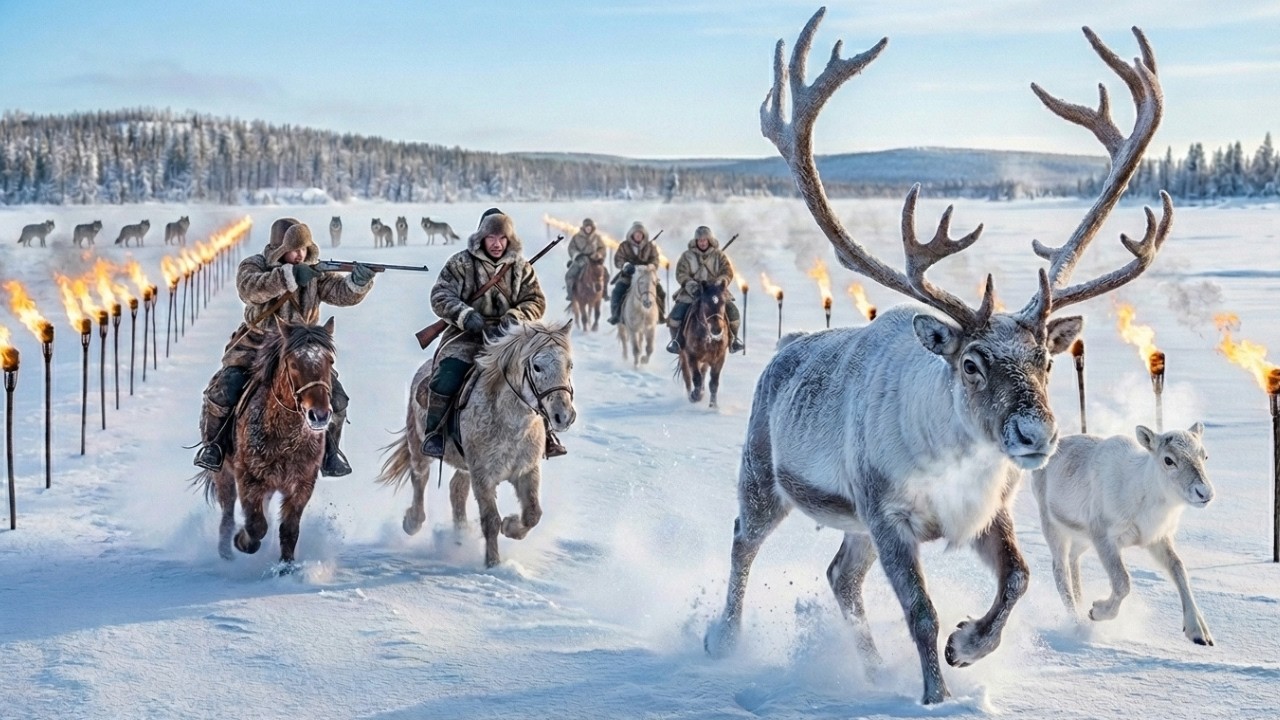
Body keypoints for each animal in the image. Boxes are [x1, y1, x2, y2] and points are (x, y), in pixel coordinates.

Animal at [703, 8, 1172, 706]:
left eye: (1046, 359)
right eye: (971, 363)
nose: (1036, 434)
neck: (952, 461)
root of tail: (783, 350)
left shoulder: (986, 514)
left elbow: (1020, 578)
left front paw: (968, 644)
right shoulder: (887, 514)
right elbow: (919, 610)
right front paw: (935, 695)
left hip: (851, 526)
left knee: (840, 576)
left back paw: (872, 670)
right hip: (765, 476)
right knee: (742, 542)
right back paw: (724, 640)